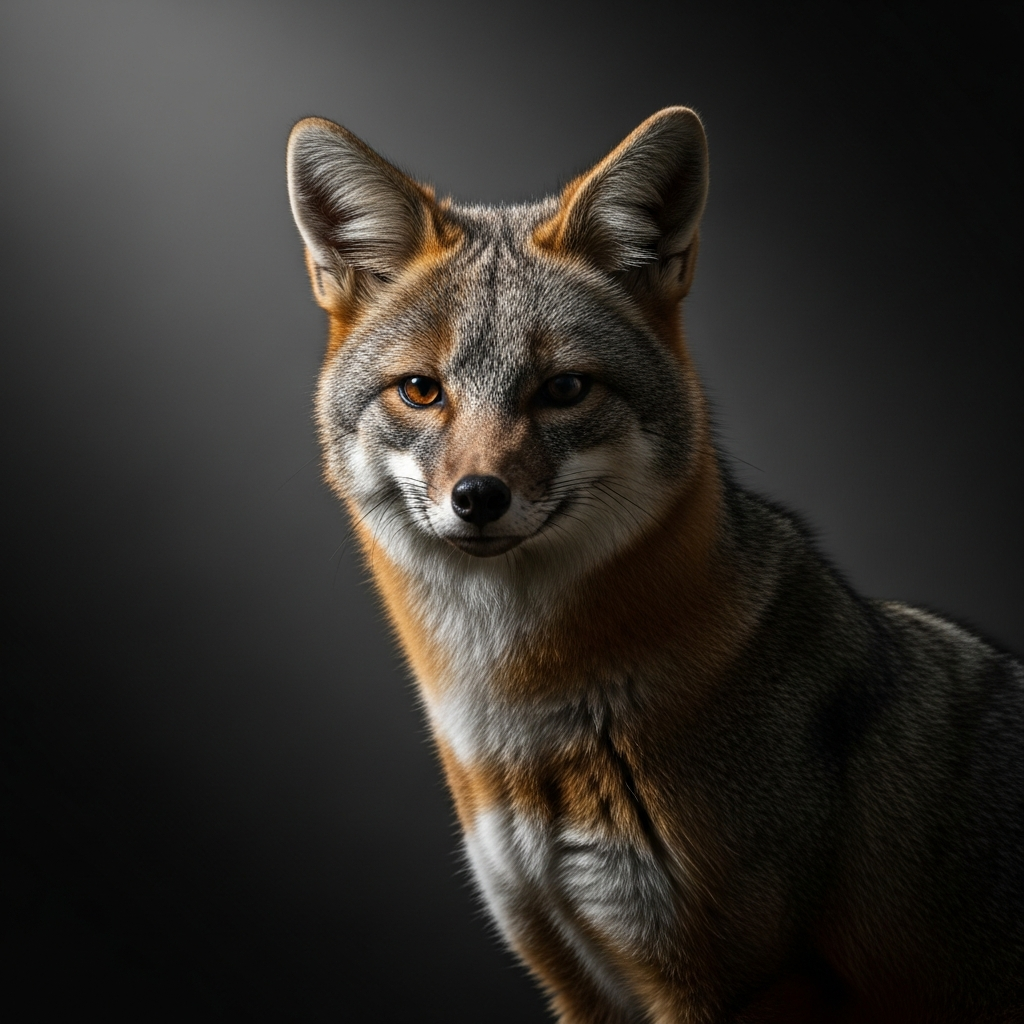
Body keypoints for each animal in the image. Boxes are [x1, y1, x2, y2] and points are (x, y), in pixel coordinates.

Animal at [285, 107, 1024, 1023]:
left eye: (564, 389)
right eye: (421, 391)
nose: (478, 496)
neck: (519, 730)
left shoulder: (743, 981)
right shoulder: (573, 975)